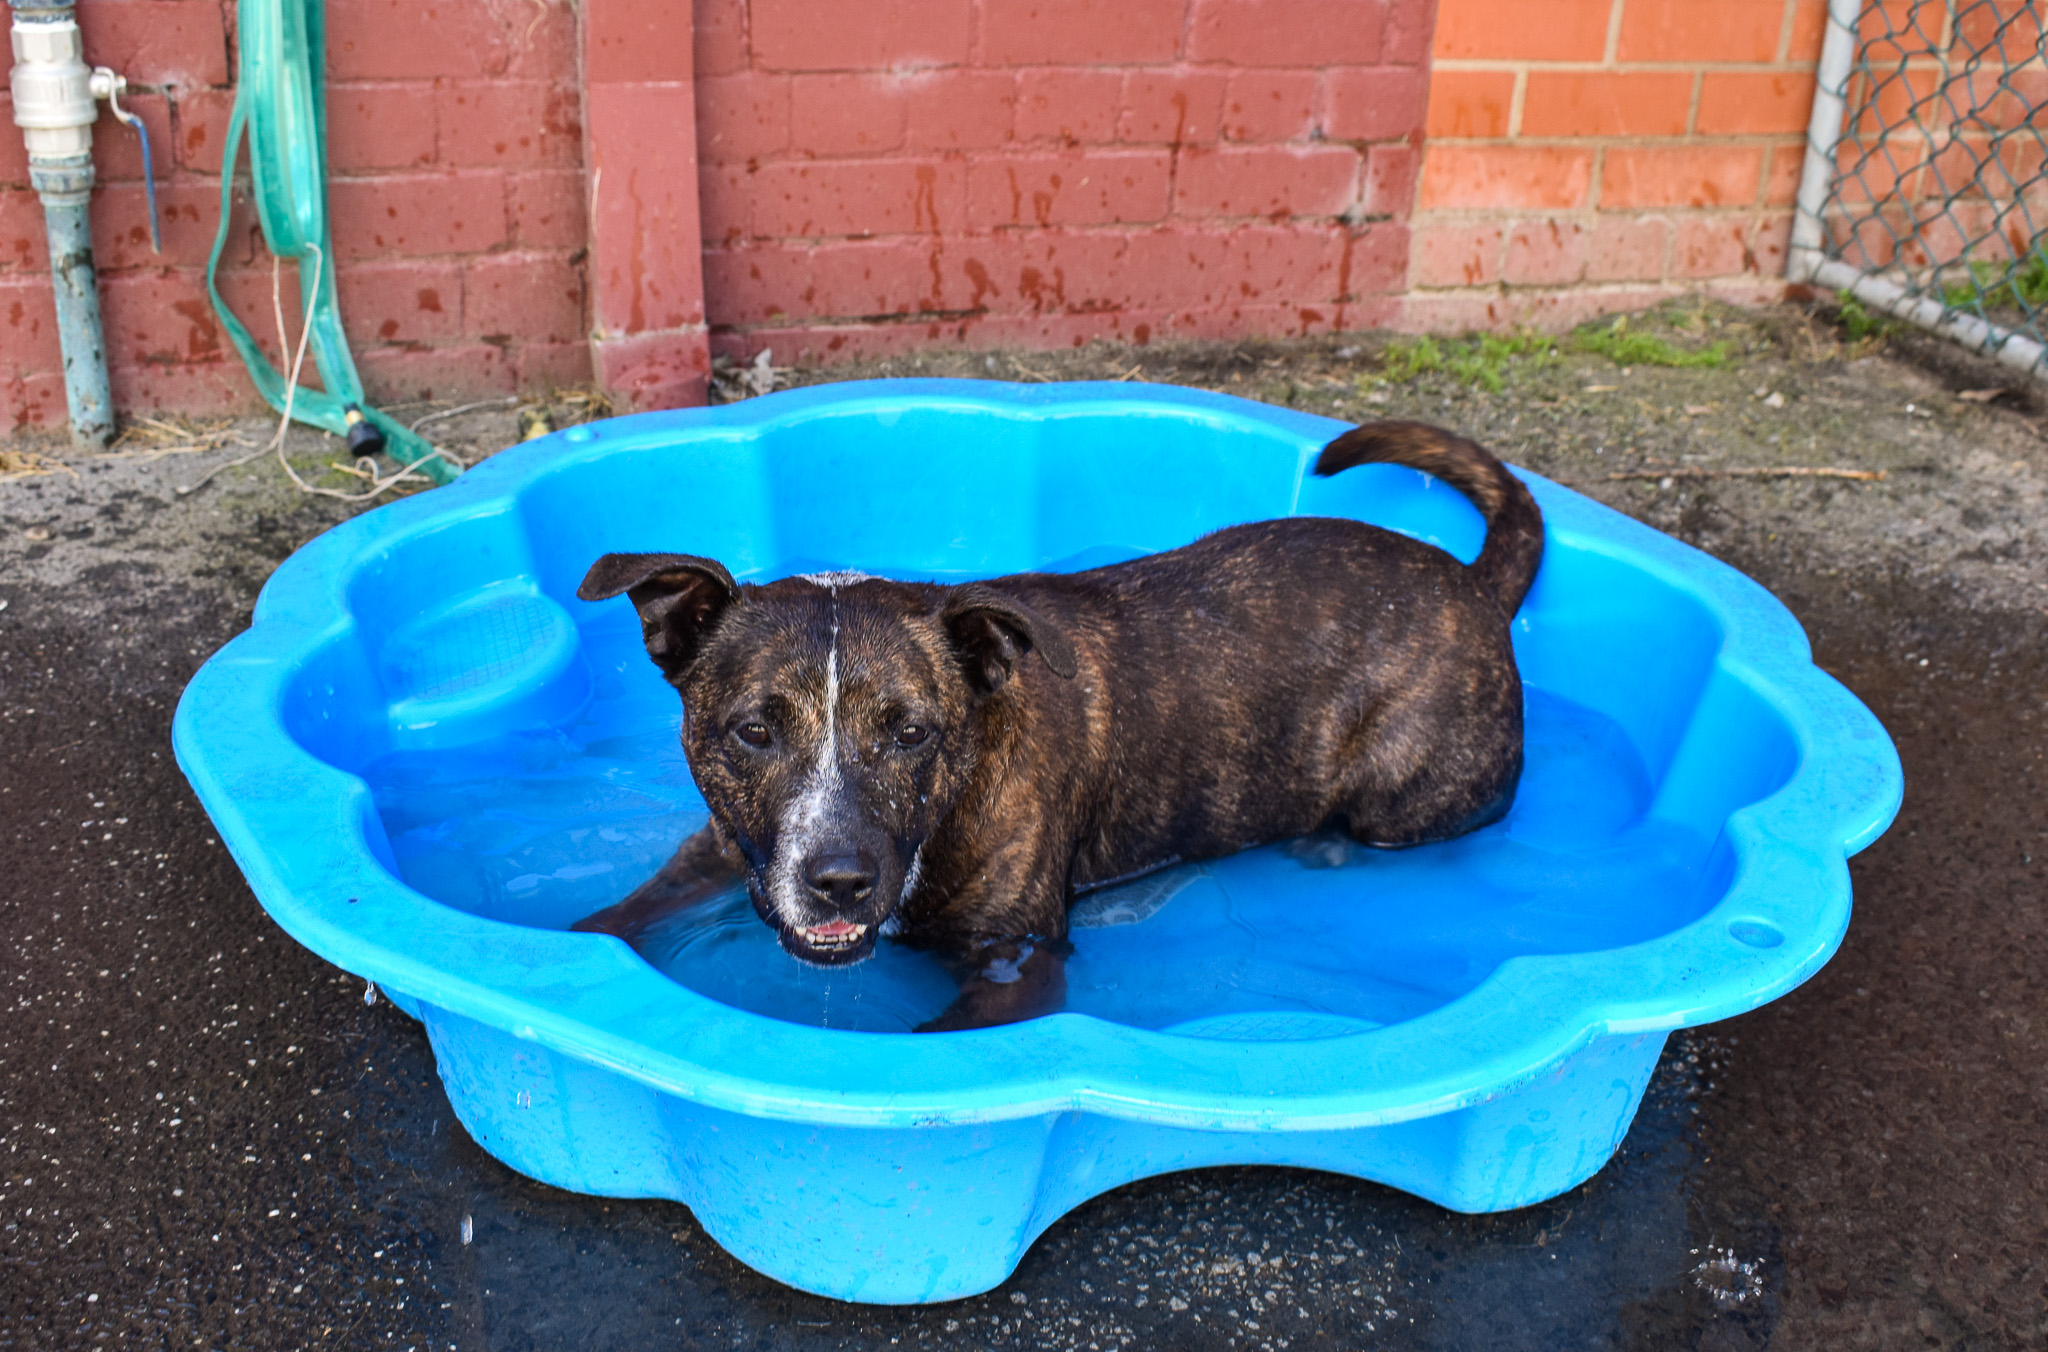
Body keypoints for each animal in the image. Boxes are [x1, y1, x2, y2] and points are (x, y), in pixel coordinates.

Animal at [569, 417, 1540, 1028]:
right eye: (754, 731)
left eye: (912, 733)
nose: (839, 880)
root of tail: (1472, 583)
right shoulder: (723, 846)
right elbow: (626, 912)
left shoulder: (1016, 961)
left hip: (1405, 792)